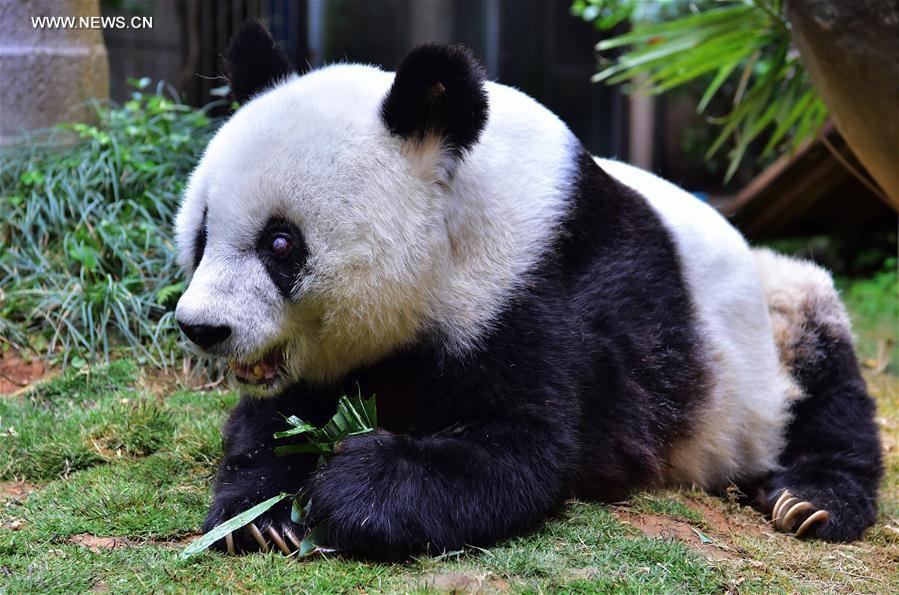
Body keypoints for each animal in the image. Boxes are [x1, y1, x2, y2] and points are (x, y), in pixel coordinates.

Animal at [172, 23, 884, 560]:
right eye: (202, 232)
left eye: (280, 243)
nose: (202, 326)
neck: (456, 215)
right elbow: (278, 416)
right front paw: (260, 515)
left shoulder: (538, 284)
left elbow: (526, 450)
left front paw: (351, 483)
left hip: (769, 329)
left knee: (825, 379)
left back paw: (810, 500)